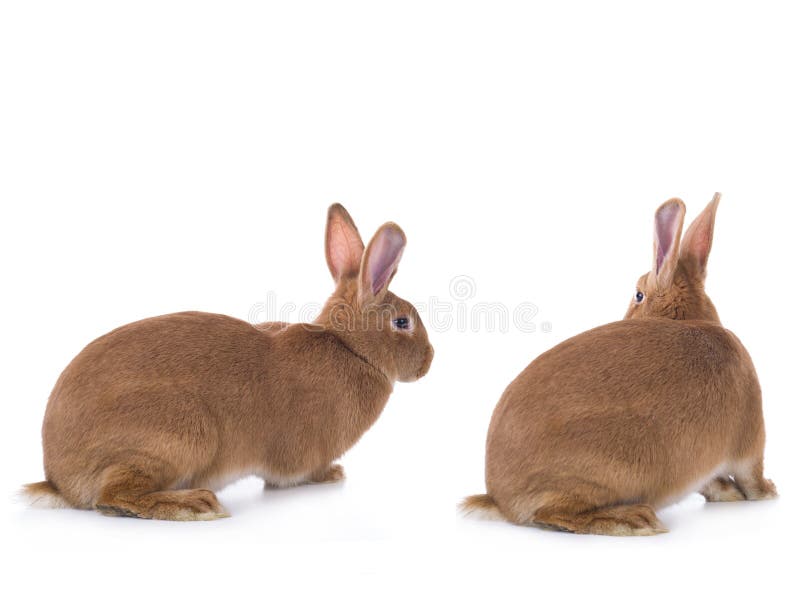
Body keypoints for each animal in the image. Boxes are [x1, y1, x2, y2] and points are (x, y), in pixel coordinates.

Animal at [22, 204, 434, 520]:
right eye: (402, 322)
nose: (429, 361)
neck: (348, 347)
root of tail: (60, 479)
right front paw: (332, 474)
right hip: (180, 433)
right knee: (114, 497)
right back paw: (198, 504)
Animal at [462, 193, 776, 536]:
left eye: (638, 295)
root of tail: (500, 500)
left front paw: (730, 493)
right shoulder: (750, 439)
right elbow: (752, 476)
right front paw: (767, 492)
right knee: (553, 513)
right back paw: (632, 520)